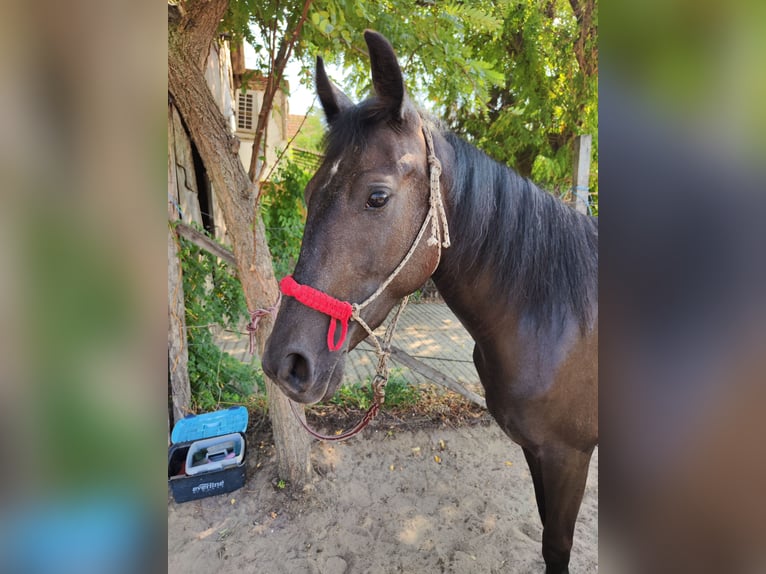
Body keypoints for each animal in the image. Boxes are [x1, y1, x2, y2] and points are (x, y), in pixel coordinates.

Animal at [262, 30, 598, 574]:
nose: (284, 363)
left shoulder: (570, 455)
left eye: (377, 197)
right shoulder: (537, 451)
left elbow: (558, 548)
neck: (556, 321)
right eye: (311, 193)